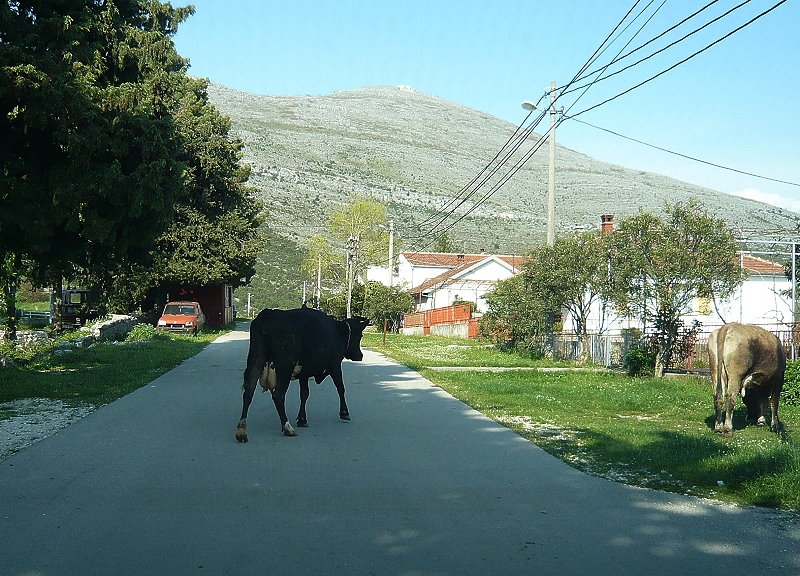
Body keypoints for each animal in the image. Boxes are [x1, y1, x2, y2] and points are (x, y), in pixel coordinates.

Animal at [236, 306, 370, 440]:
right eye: (361, 335)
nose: (360, 356)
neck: (339, 332)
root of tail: (269, 314)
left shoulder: (304, 372)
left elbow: (304, 393)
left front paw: (302, 419)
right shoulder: (335, 365)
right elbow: (340, 388)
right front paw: (344, 413)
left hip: (256, 359)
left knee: (248, 392)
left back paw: (241, 431)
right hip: (285, 366)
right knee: (278, 395)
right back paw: (287, 428)